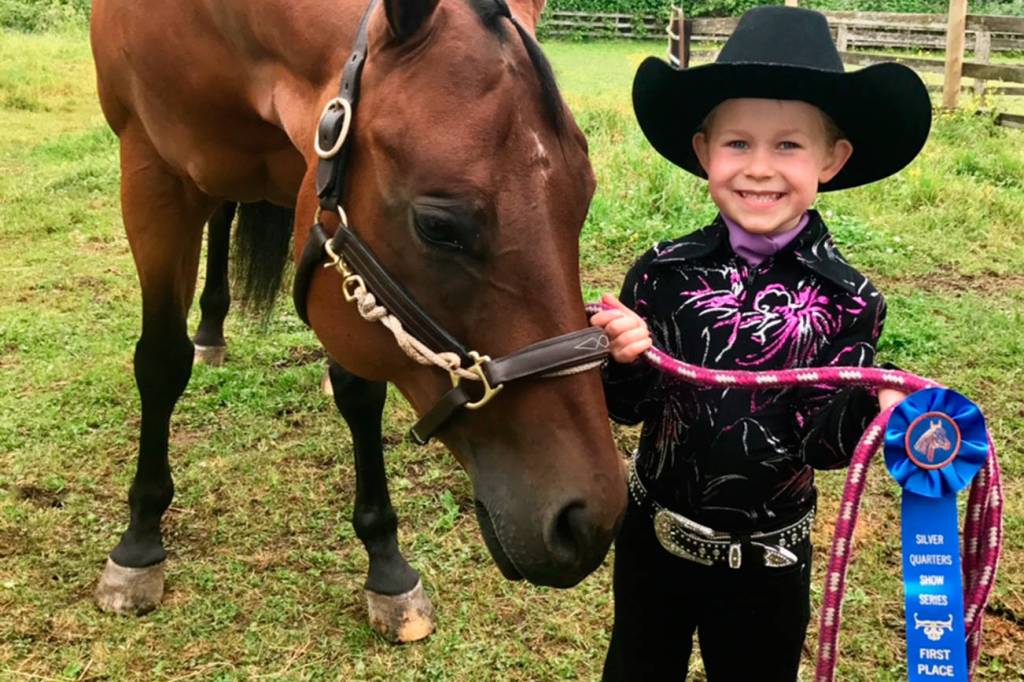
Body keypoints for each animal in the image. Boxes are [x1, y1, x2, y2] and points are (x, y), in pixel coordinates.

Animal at [89, 0, 626, 642]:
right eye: (437, 226)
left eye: (585, 198)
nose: (588, 519)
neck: (218, 26)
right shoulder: (151, 176)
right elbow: (160, 363)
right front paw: (139, 541)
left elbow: (360, 389)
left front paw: (387, 566)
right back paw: (210, 332)